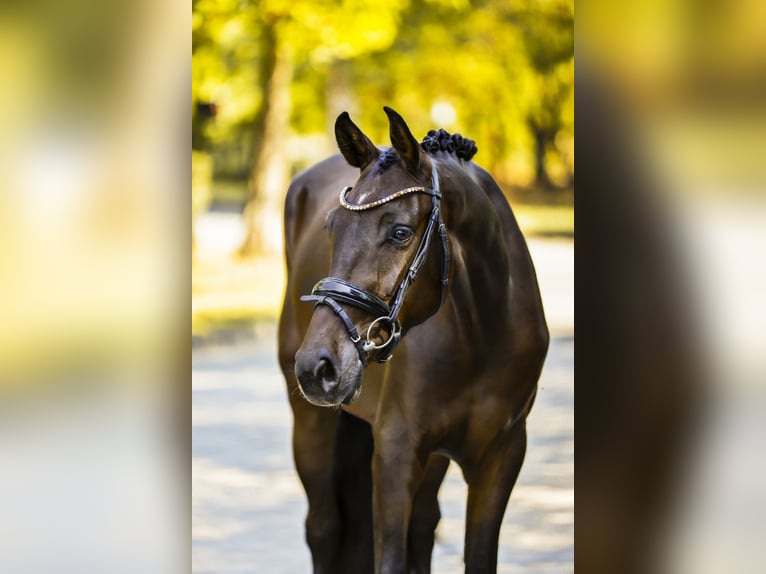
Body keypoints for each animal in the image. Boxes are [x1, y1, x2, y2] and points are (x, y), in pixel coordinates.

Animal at [280, 109, 548, 574]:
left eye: (401, 233)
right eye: (331, 227)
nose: (316, 366)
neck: (483, 335)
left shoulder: (502, 455)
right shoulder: (395, 451)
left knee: (423, 526)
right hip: (311, 421)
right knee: (324, 528)